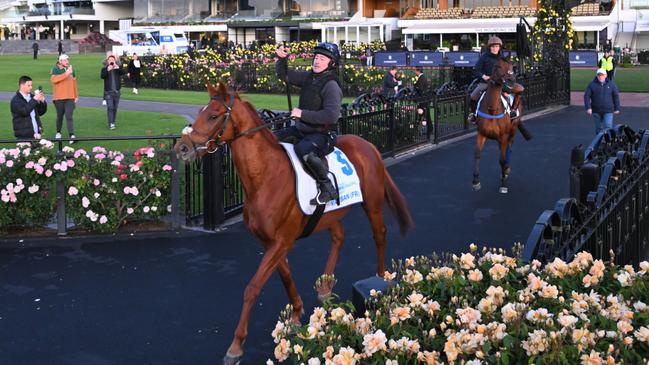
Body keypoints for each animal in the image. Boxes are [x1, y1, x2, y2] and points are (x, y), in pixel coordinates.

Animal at [175, 82, 412, 364]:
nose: (182, 148)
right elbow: (286, 277)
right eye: (201, 111)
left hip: (373, 204)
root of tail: (369, 145)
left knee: (379, 235)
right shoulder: (272, 242)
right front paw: (297, 314)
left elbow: (252, 288)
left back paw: (378, 282)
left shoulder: (282, 241)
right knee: (339, 236)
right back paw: (325, 285)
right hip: (330, 214)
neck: (265, 176)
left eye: (213, 115)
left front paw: (235, 346)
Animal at [470, 56, 520, 193]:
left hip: (512, 131)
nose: (511, 80)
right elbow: (477, 153)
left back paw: (506, 169)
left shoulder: (503, 136)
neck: (492, 109)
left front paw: (503, 184)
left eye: (511, 66)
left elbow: (502, 159)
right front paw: (476, 181)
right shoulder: (481, 133)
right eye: (498, 66)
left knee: (509, 147)